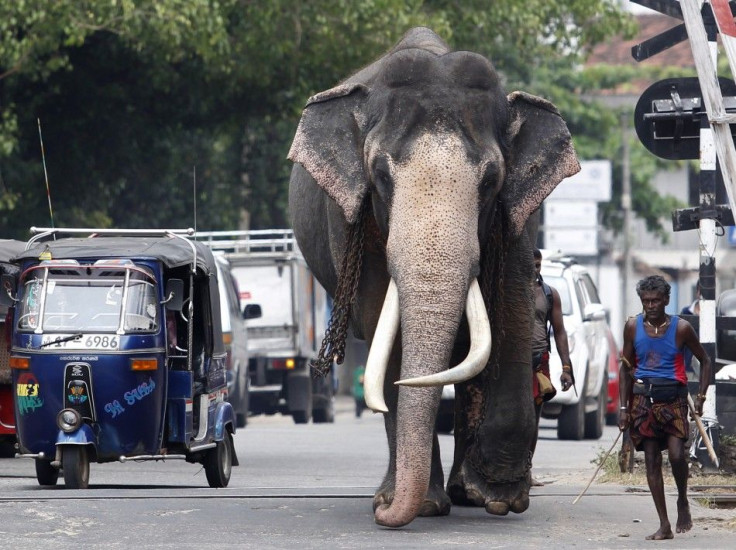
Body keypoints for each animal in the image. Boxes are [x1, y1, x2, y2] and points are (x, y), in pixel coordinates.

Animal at [288, 27, 580, 532]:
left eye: (491, 179)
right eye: (380, 175)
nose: (383, 513)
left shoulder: (519, 217)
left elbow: (511, 312)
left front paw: (499, 497)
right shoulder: (352, 222)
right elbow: (383, 329)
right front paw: (421, 505)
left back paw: (467, 492)